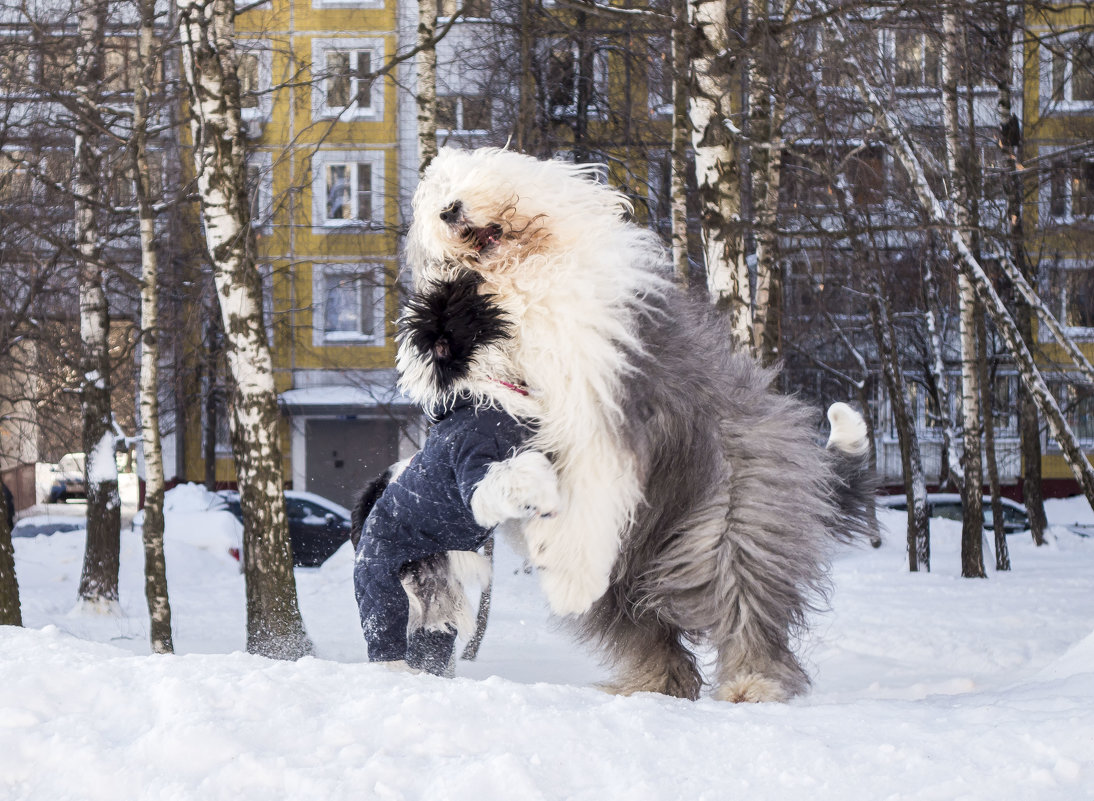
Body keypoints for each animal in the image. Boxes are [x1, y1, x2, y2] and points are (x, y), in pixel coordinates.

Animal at [398, 145, 875, 700]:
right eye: (435, 197)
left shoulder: (606, 398)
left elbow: (593, 474)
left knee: (742, 601)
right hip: (628, 574)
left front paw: (565, 576)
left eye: (470, 176)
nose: (450, 210)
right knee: (645, 626)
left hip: (733, 520)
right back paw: (651, 682)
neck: (522, 280)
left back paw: (751, 682)